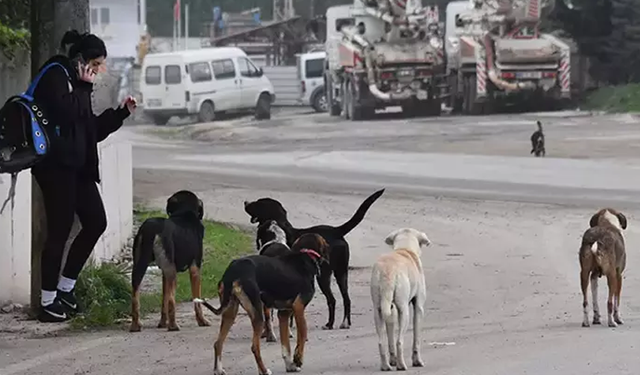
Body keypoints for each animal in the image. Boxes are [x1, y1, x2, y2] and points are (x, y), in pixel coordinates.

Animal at [129, 191, 209, 332]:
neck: (184, 212)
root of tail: (151, 229)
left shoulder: (163, 273)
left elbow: (164, 300)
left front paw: (162, 323)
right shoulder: (195, 268)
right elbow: (196, 301)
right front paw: (202, 321)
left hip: (140, 265)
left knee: (135, 295)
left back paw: (135, 325)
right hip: (172, 272)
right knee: (172, 300)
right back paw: (173, 326)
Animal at [196, 234, 330, 375]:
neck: (306, 256)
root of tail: (233, 271)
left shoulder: (283, 314)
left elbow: (285, 346)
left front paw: (290, 365)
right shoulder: (298, 307)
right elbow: (303, 335)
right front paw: (298, 359)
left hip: (230, 311)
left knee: (218, 343)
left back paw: (219, 370)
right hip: (257, 313)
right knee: (254, 347)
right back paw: (264, 371)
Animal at [244, 189, 384, 330]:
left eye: (259, 203)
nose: (245, 202)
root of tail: (337, 231)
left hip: (324, 276)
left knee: (332, 299)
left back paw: (330, 324)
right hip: (341, 272)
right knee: (346, 298)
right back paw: (345, 322)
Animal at [370, 228, 430, 372]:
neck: (404, 249)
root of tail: (388, 270)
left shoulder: (391, 311)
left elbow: (390, 337)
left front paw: (393, 360)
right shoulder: (419, 308)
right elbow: (416, 338)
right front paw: (417, 361)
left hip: (378, 310)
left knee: (381, 342)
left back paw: (386, 366)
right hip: (404, 312)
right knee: (399, 341)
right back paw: (401, 365)